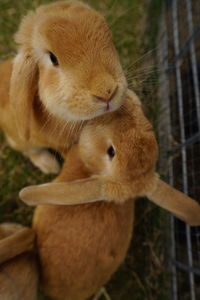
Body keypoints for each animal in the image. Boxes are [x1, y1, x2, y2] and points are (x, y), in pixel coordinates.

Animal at [0, 0, 126, 173]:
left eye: (109, 40)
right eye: (53, 58)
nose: (107, 92)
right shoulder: (59, 144)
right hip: (20, 140)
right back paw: (50, 166)